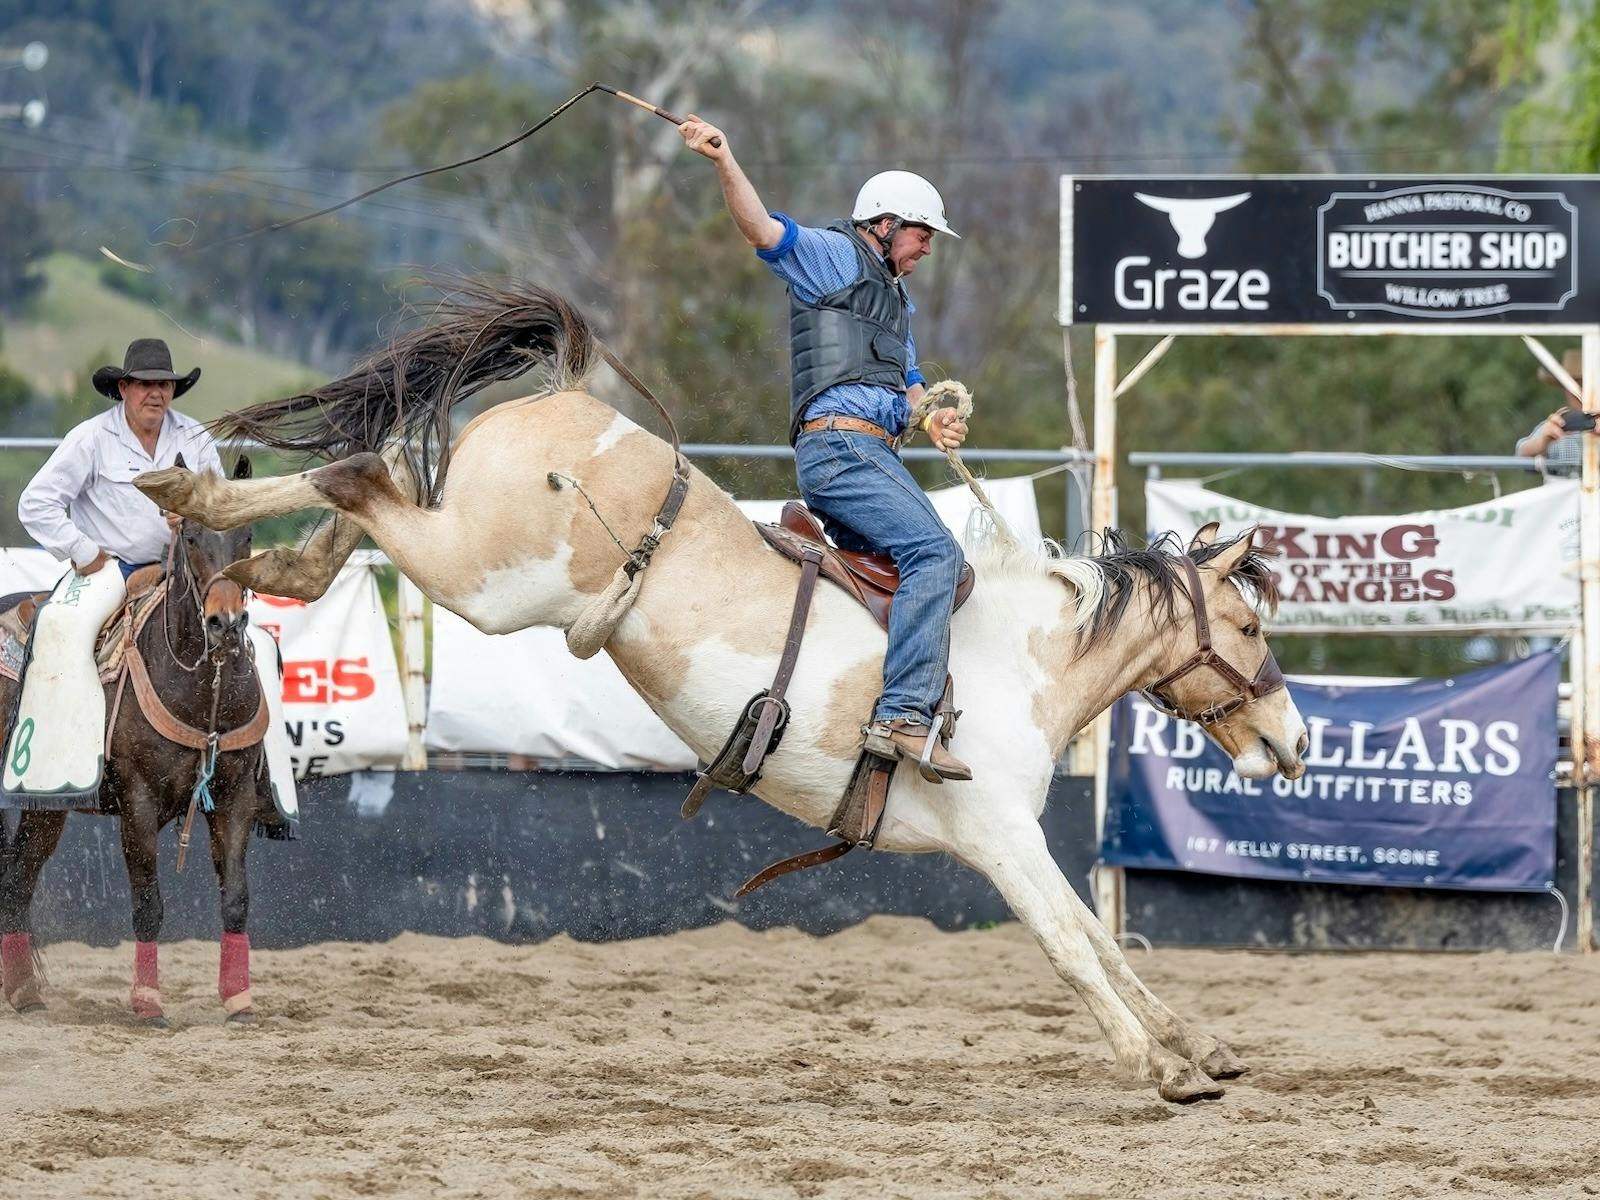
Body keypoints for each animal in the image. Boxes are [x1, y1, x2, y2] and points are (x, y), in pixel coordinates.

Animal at [0, 461, 278, 1027]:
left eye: (247, 536)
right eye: (190, 537)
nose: (225, 623)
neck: (203, 688)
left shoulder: (235, 797)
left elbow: (236, 898)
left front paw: (239, 1000)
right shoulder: (139, 803)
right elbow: (148, 904)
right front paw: (148, 1003)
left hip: (44, 808)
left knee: (17, 881)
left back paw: (25, 994)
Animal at [136, 280, 1309, 1101]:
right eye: (1252, 627)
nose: (1295, 742)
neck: (1018, 658)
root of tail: (567, 399)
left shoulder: (1021, 837)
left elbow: (1103, 938)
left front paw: (1200, 1046)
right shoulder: (998, 839)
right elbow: (1070, 946)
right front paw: (1162, 1070)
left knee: (366, 482)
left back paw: (256, 550)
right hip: (489, 579)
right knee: (365, 476)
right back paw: (198, 498)